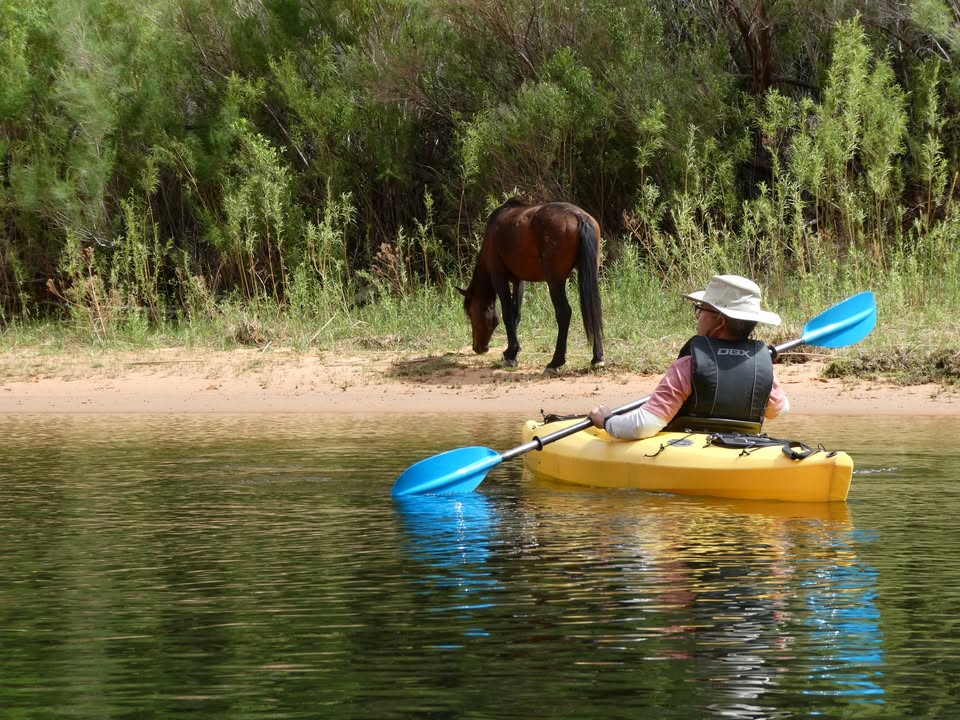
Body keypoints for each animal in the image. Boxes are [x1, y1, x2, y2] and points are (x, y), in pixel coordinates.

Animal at [459, 199, 604, 374]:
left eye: (470, 314)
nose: (478, 348)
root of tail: (578, 216)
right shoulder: (519, 281)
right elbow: (516, 314)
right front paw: (513, 352)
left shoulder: (499, 277)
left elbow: (507, 314)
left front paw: (510, 354)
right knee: (594, 309)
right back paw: (597, 358)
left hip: (555, 281)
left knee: (564, 313)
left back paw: (555, 362)